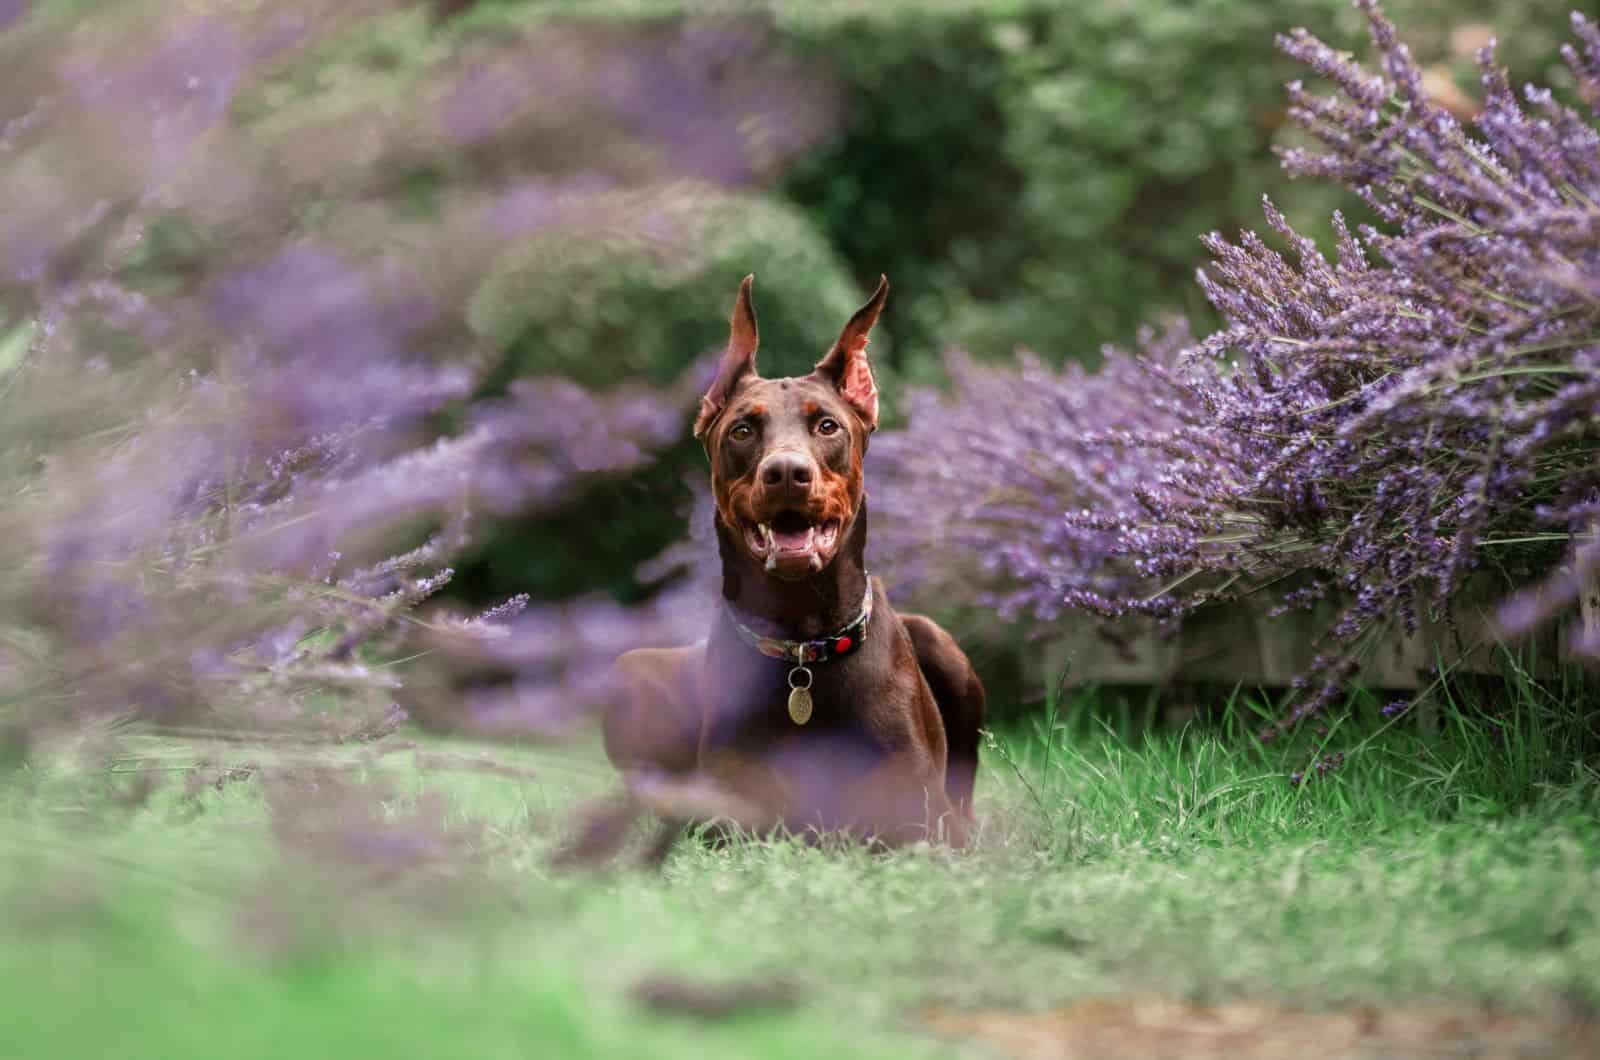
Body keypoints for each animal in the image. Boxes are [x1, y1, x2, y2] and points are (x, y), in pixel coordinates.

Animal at [604, 273, 979, 845]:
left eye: (827, 426)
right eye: (741, 430)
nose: (786, 473)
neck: (804, 644)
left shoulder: (921, 817)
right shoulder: (724, 814)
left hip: (939, 642)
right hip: (630, 671)